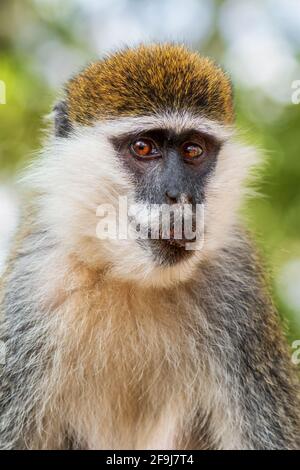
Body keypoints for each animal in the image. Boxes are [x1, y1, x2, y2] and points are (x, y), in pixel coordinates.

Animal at [0, 45, 298, 452]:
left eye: (193, 150)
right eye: (144, 147)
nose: (180, 195)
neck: (131, 279)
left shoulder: (240, 287)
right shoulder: (31, 290)